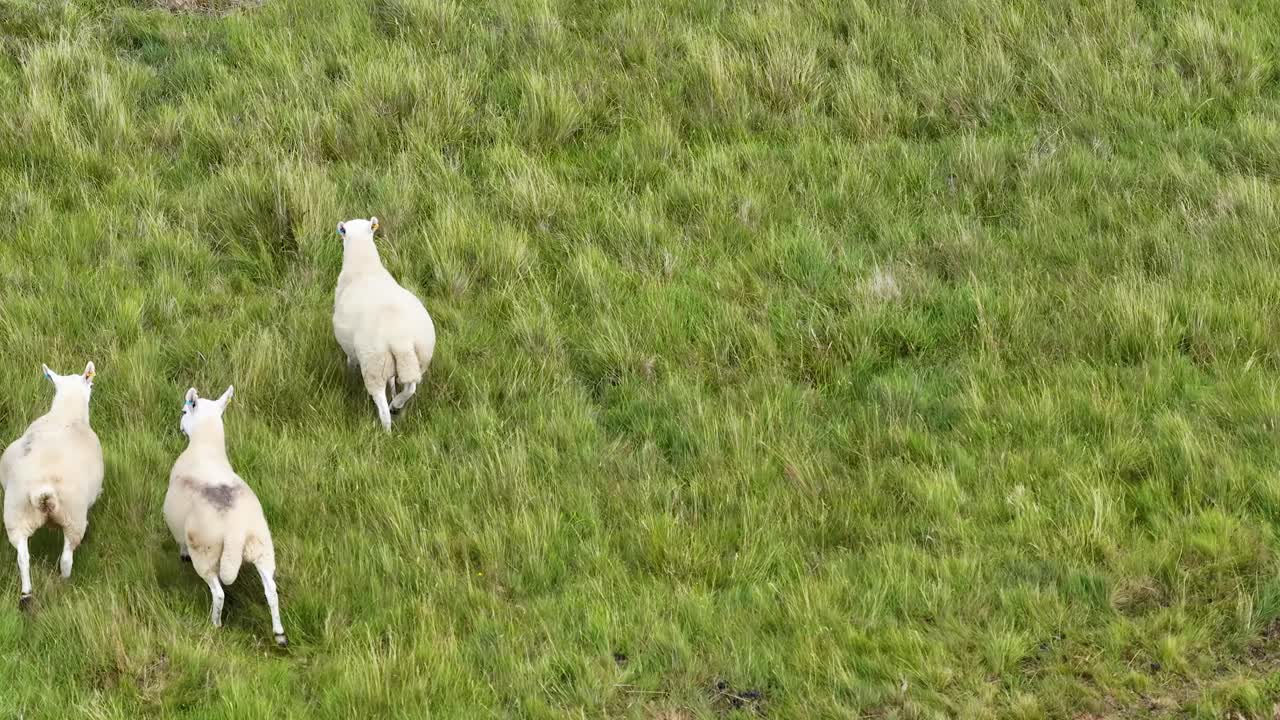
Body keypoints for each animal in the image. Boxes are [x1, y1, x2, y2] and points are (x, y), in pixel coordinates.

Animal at [0, 362, 103, 610]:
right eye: (91, 384)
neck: (65, 414)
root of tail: (43, 492)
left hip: (16, 515)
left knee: (23, 558)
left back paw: (26, 596)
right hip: (73, 518)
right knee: (66, 559)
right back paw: (64, 584)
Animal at [164, 386, 287, 647]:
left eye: (184, 411)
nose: (180, 427)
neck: (207, 448)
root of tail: (235, 530)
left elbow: (180, 542)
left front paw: (182, 555)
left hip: (206, 551)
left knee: (219, 592)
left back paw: (215, 623)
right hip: (262, 546)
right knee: (271, 590)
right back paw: (280, 634)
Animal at [333, 216, 436, 431]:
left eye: (343, 232)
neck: (364, 266)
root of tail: (400, 339)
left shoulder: (349, 347)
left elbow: (350, 362)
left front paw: (349, 375)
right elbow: (394, 381)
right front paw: (394, 390)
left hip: (374, 364)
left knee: (382, 408)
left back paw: (386, 429)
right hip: (420, 357)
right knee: (411, 386)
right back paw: (397, 403)